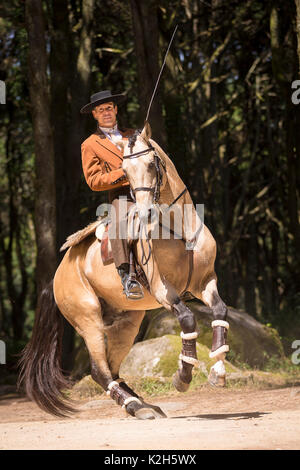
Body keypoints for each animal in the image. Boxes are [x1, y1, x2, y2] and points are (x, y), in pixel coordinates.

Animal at [18, 123, 230, 420]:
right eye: (125, 171)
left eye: (152, 164)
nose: (145, 212)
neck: (180, 230)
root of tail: (57, 275)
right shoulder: (163, 290)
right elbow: (188, 320)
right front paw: (182, 376)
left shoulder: (206, 282)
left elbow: (220, 312)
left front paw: (218, 372)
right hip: (88, 320)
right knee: (99, 370)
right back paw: (135, 406)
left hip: (127, 323)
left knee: (113, 367)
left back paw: (143, 405)